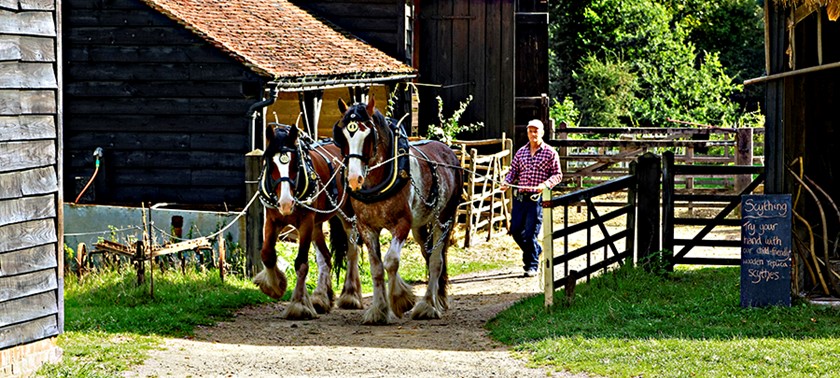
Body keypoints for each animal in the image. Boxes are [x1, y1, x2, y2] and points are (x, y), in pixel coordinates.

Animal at [253, 124, 364, 318]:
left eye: (295, 164)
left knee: (352, 251)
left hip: (346, 214)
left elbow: (302, 263)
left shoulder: (306, 223)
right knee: (325, 258)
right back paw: (321, 298)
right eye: (270, 163)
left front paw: (298, 304)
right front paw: (274, 286)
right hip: (317, 225)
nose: (286, 203)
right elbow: (267, 254)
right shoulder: (273, 220)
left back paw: (351, 295)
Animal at [334, 96, 466, 324]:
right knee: (427, 253)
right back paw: (437, 298)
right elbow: (377, 268)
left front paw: (401, 299)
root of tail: (449, 152)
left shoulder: (402, 225)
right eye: (342, 134)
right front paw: (378, 310)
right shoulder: (366, 227)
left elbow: (391, 261)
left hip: (444, 219)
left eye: (367, 133)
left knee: (436, 261)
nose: (353, 179)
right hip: (420, 226)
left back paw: (428, 306)